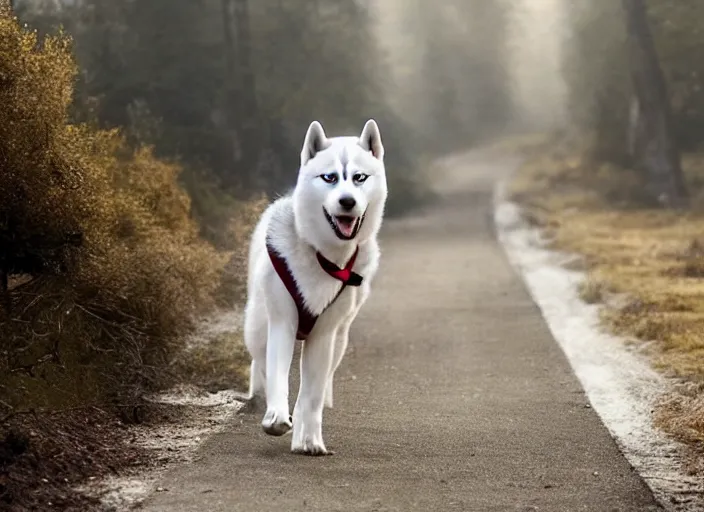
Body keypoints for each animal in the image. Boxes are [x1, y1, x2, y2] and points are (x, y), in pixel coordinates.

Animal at [241, 119, 384, 456]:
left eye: (359, 177)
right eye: (329, 177)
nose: (347, 201)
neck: (324, 257)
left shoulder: (325, 334)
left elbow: (312, 395)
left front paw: (309, 439)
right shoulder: (283, 322)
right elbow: (279, 377)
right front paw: (276, 417)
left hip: (340, 340)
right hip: (257, 328)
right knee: (261, 363)